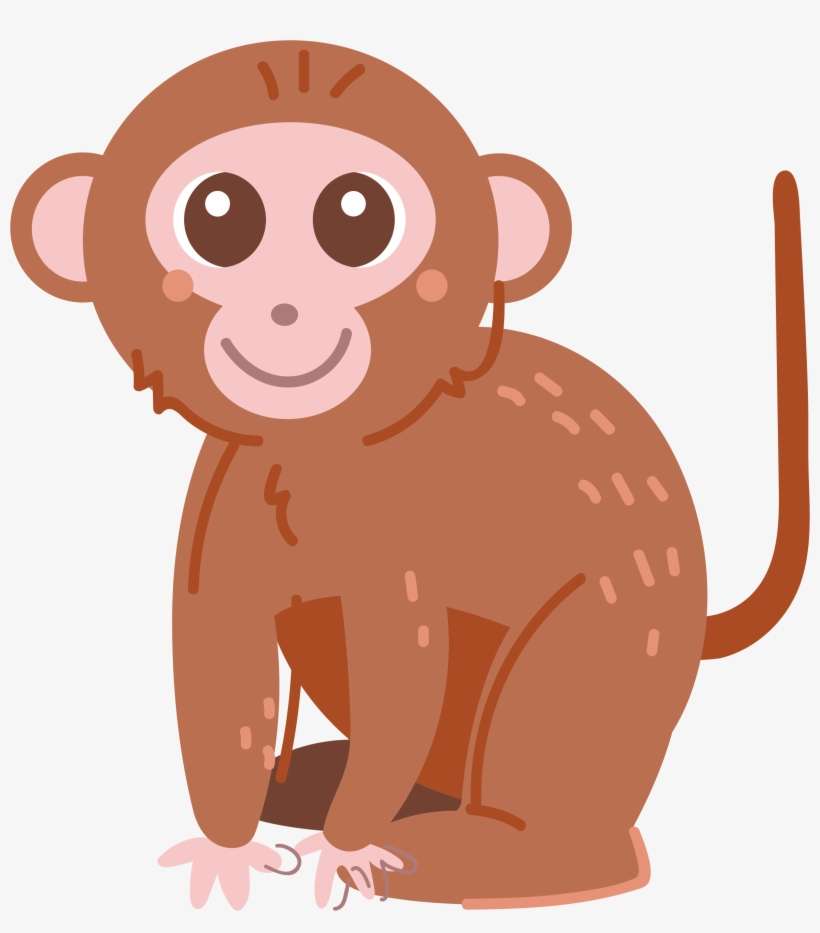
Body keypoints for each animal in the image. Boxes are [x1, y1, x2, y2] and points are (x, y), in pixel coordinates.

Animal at [10, 40, 808, 911]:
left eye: (357, 215)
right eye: (217, 215)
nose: (285, 310)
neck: (311, 448)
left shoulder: (394, 533)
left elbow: (401, 672)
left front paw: (346, 845)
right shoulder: (223, 499)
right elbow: (222, 656)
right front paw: (228, 849)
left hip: (627, 615)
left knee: (559, 721)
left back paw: (480, 851)